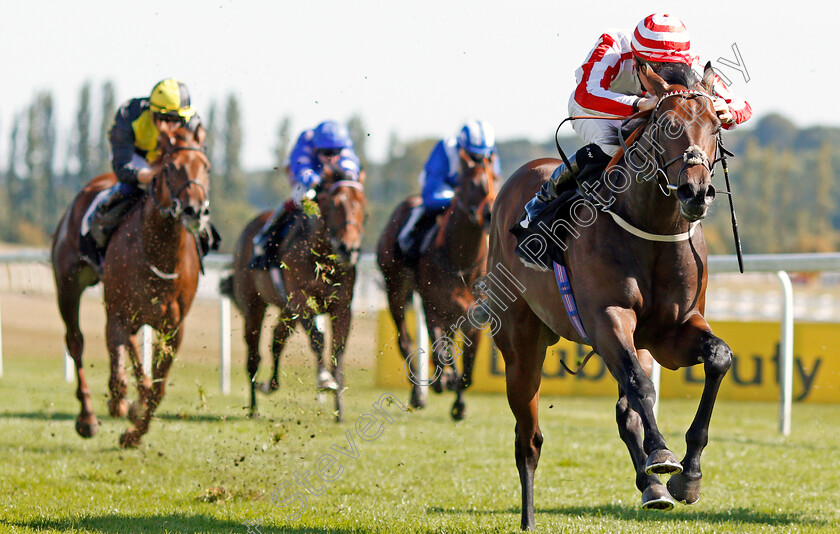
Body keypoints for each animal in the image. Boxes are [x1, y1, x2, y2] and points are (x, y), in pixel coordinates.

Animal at [52, 127, 212, 450]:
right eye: (170, 167)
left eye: (207, 167)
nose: (195, 211)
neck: (156, 251)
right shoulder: (117, 310)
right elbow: (119, 365)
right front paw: (119, 404)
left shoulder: (173, 328)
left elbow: (157, 388)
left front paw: (133, 433)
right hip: (68, 285)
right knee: (76, 342)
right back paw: (88, 418)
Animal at [221, 170, 366, 426]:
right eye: (336, 204)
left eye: (362, 204)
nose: (349, 249)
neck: (321, 256)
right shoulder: (301, 300)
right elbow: (318, 339)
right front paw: (324, 379)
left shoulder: (341, 307)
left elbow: (337, 351)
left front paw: (339, 410)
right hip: (254, 305)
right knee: (253, 355)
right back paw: (253, 407)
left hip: (286, 310)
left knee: (277, 340)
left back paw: (270, 385)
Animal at [376, 149, 496, 420]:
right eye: (472, 183)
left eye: (496, 177)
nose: (490, 214)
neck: (461, 259)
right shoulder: (433, 308)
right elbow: (439, 351)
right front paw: (444, 380)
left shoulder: (473, 316)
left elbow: (467, 369)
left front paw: (459, 404)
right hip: (396, 288)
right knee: (406, 341)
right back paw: (419, 393)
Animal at [488, 65, 732, 528]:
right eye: (666, 124)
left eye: (715, 124)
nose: (695, 192)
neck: (652, 227)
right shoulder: (607, 318)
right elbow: (640, 384)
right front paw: (663, 454)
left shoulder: (671, 333)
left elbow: (717, 358)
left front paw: (688, 476)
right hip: (520, 345)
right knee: (528, 438)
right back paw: (528, 519)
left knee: (624, 412)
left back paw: (653, 488)